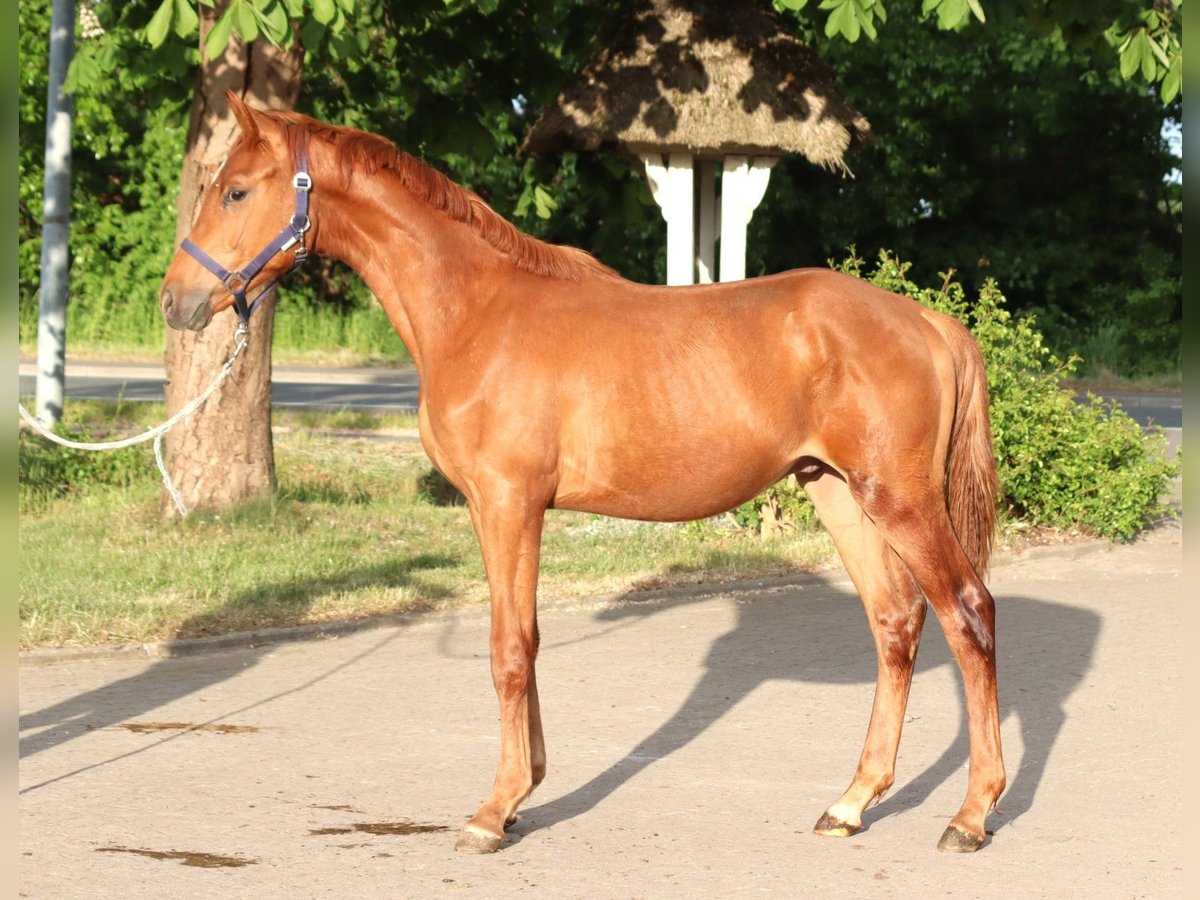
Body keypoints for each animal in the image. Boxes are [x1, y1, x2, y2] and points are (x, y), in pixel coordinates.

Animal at [159, 93, 1005, 854]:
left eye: (237, 190)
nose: (176, 301)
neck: (476, 311)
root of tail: (927, 322)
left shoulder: (509, 502)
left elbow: (508, 649)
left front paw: (493, 812)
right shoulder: (495, 508)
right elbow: (522, 640)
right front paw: (523, 792)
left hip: (900, 500)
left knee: (969, 615)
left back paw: (970, 816)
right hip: (836, 492)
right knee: (895, 622)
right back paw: (851, 803)